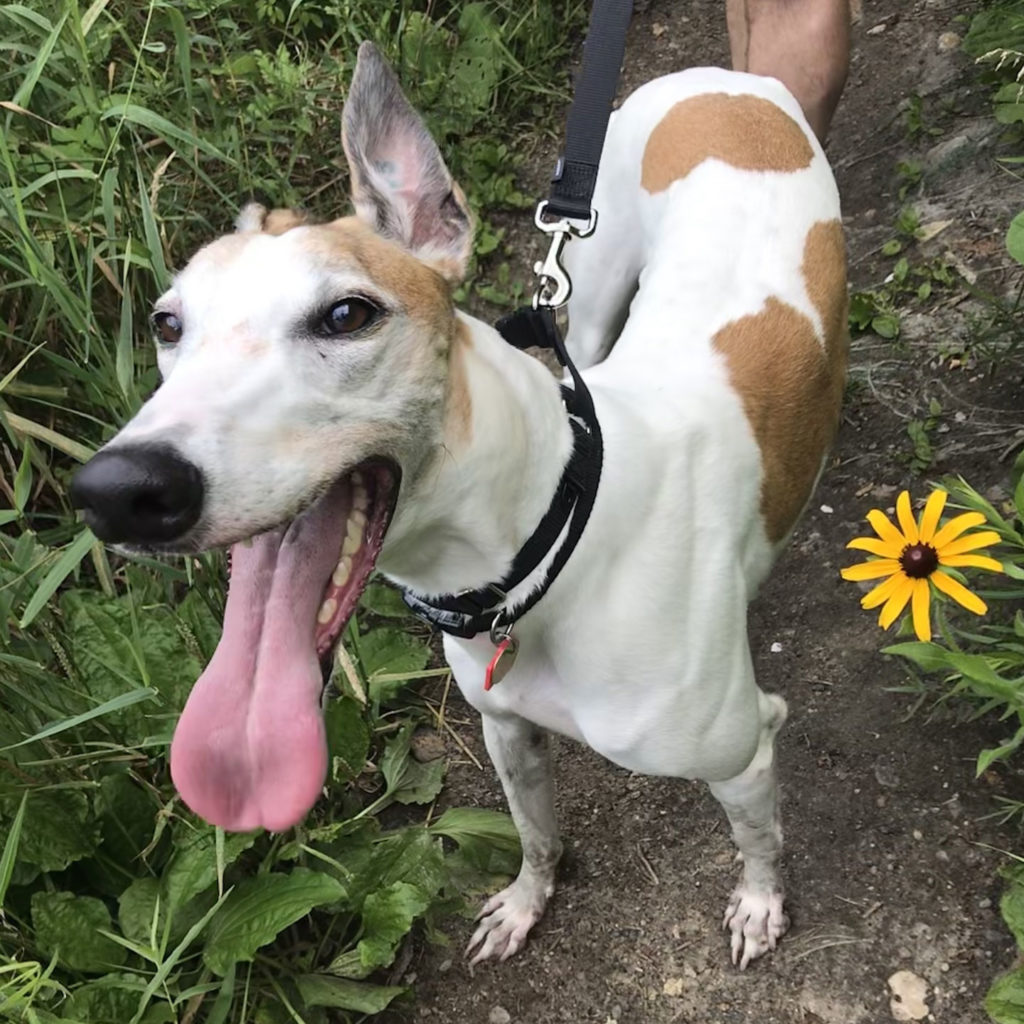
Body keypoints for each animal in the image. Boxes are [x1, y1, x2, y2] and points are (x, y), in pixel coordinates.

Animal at [70, 41, 839, 966]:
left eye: (347, 313)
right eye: (167, 324)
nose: (117, 492)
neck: (549, 546)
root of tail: (724, 81)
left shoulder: (744, 748)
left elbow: (759, 837)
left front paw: (760, 904)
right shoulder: (507, 730)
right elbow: (536, 834)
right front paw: (523, 906)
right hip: (594, 293)